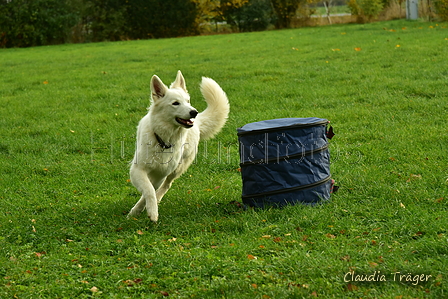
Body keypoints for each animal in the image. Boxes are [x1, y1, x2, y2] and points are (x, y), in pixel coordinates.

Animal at [128, 71, 229, 223]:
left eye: (188, 101)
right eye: (175, 103)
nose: (194, 112)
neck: (163, 141)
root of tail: (198, 123)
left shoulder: (160, 174)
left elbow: (151, 190)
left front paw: (149, 210)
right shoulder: (138, 169)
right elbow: (148, 190)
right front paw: (144, 211)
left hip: (177, 169)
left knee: (167, 185)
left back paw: (157, 199)